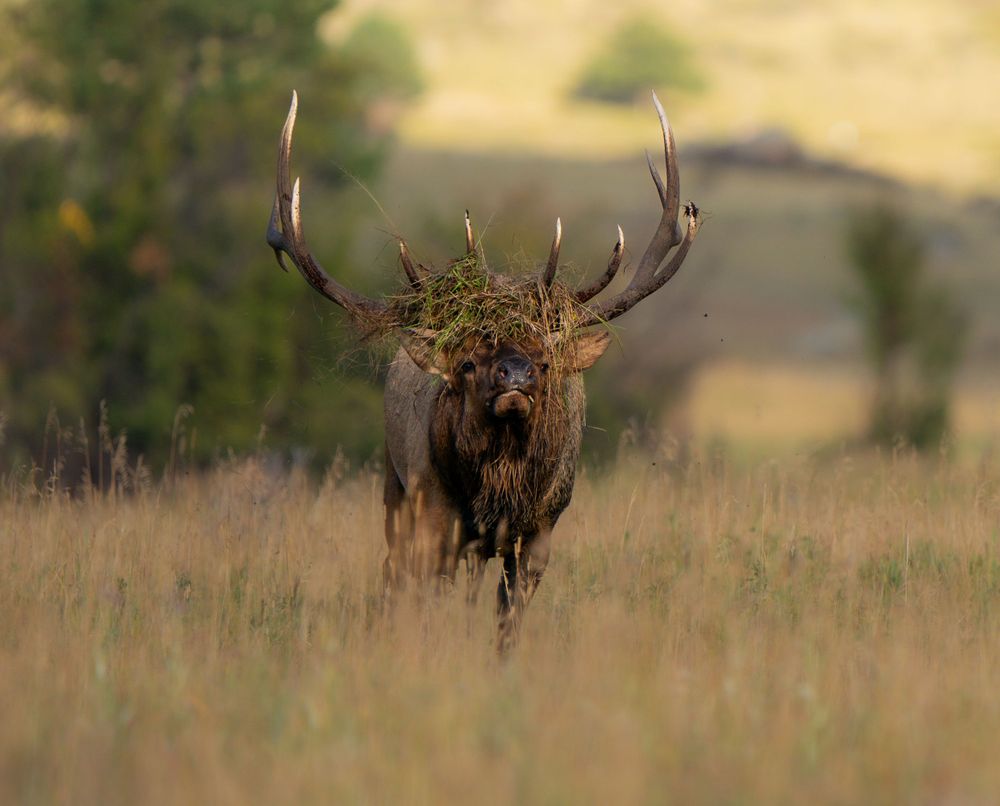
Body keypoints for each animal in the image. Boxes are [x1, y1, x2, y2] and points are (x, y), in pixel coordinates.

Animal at [266, 91, 700, 650]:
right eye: (468, 362)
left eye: (545, 361)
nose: (515, 377)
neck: (497, 493)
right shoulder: (434, 514)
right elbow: (427, 605)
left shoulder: (540, 530)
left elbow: (507, 620)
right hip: (393, 484)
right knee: (392, 572)